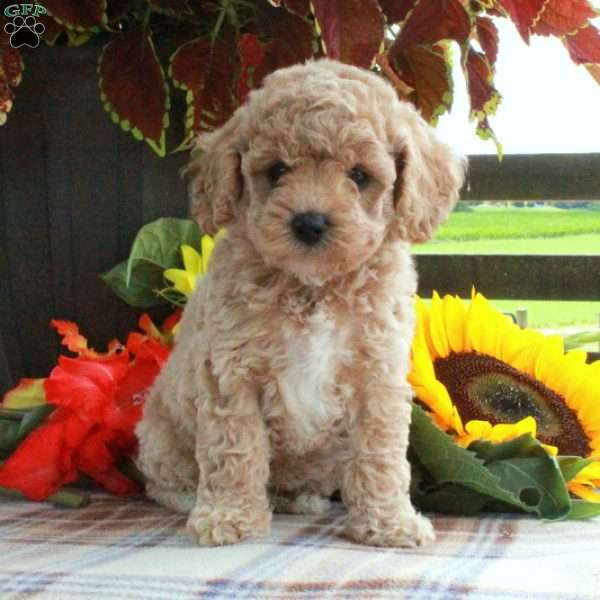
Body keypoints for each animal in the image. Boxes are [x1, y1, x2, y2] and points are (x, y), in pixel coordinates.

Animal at [136, 58, 464, 548]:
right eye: (276, 170)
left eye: (359, 175)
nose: (309, 222)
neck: (313, 287)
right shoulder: (232, 373)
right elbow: (235, 448)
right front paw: (229, 516)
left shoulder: (378, 376)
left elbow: (380, 455)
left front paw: (389, 523)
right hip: (160, 433)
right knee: (161, 480)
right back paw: (189, 498)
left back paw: (299, 499)